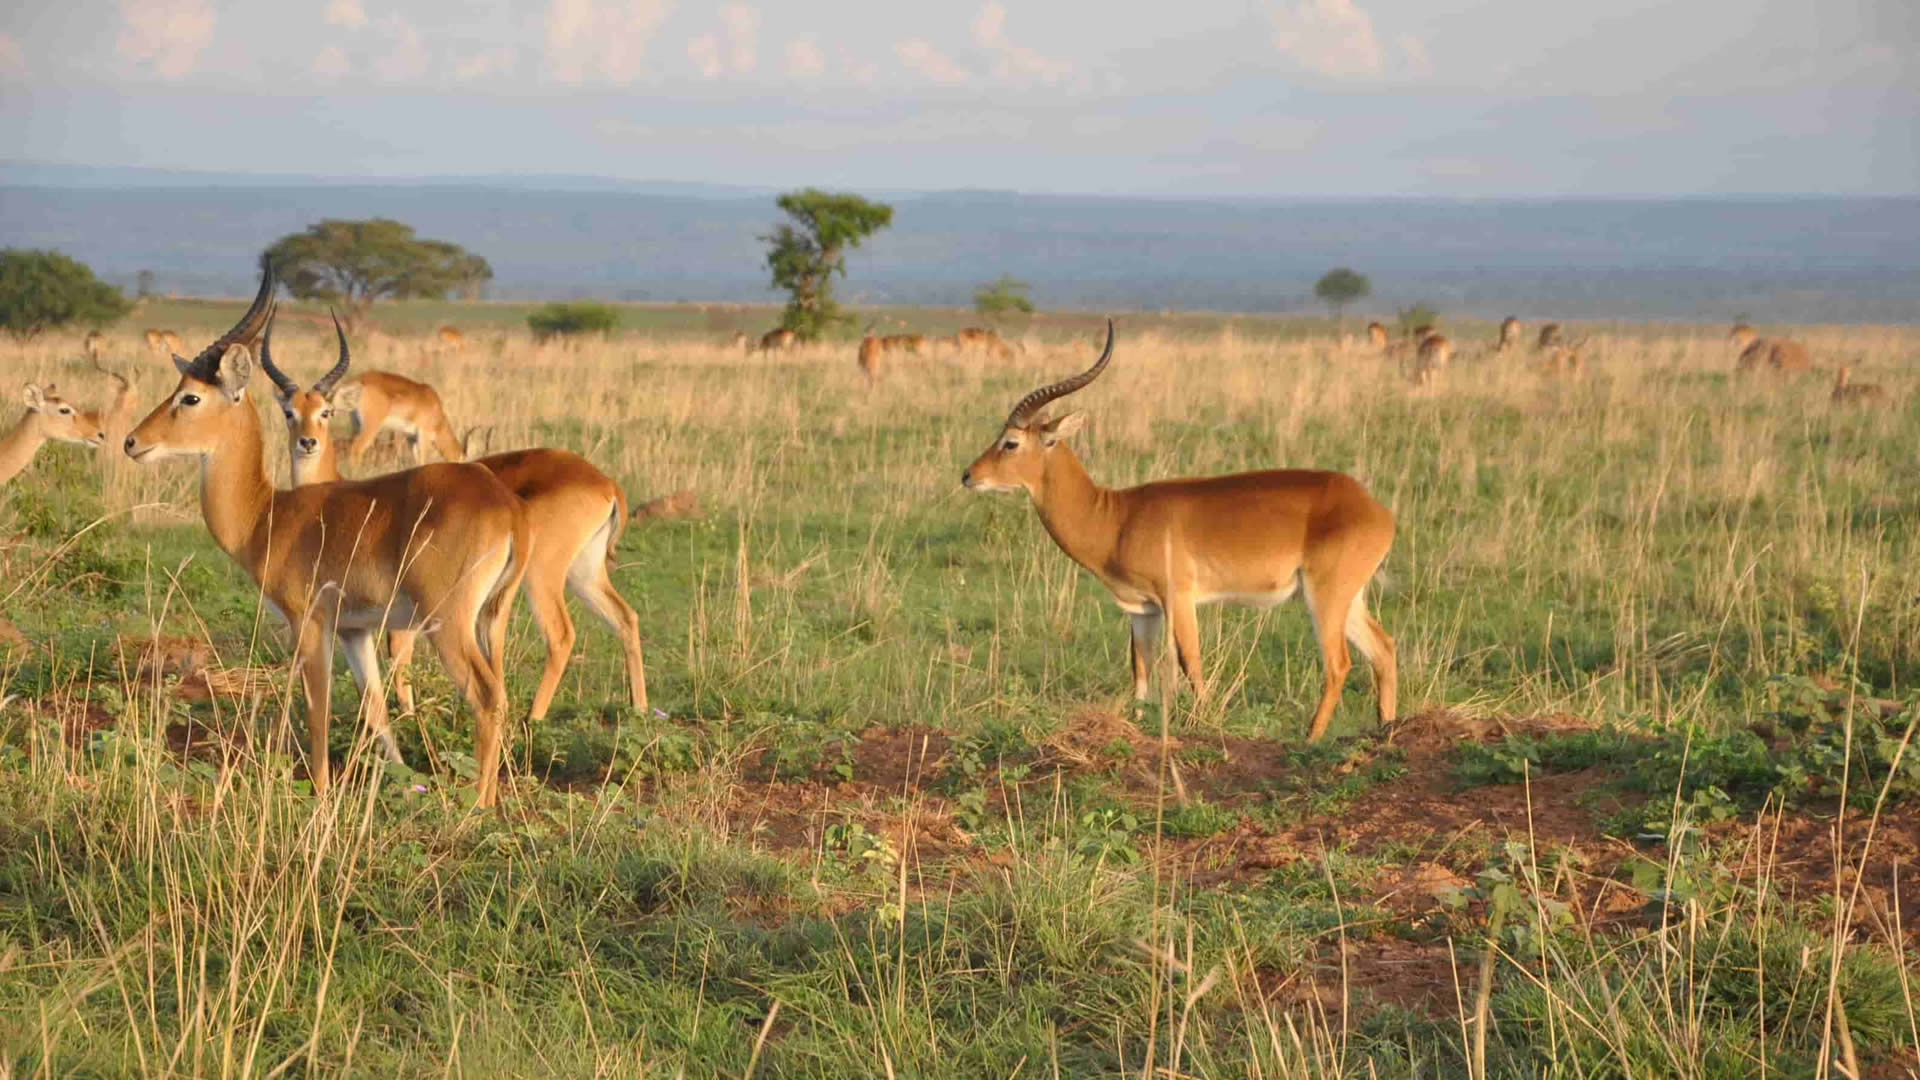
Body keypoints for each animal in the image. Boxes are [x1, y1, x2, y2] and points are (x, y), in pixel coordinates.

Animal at [125, 267, 533, 803]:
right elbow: (376, 709)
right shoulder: (355, 630)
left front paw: (319, 790)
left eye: (189, 397)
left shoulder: (308, 622)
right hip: (491, 619)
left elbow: (316, 710)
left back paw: (478, 806)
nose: (132, 441)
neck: (268, 515)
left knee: (486, 697)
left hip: (448, 622)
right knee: (502, 693)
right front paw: (401, 782)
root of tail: (506, 506)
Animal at [259, 309, 648, 722]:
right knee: (626, 617)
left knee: (559, 634)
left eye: (325, 411)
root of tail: (605, 482)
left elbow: (398, 649)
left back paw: (533, 716)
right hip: (582, 572)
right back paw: (638, 708)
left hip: (541, 574)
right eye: (289, 412)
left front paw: (408, 715)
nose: (308, 443)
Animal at [960, 319, 1397, 737]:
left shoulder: (1179, 599)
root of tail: (1375, 508)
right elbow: (1139, 672)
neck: (1115, 517)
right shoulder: (1142, 609)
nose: (968, 475)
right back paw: (1385, 729)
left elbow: (1192, 664)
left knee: (1339, 663)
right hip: (1349, 599)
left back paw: (1312, 737)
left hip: (1324, 596)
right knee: (1384, 649)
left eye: (1010, 442)